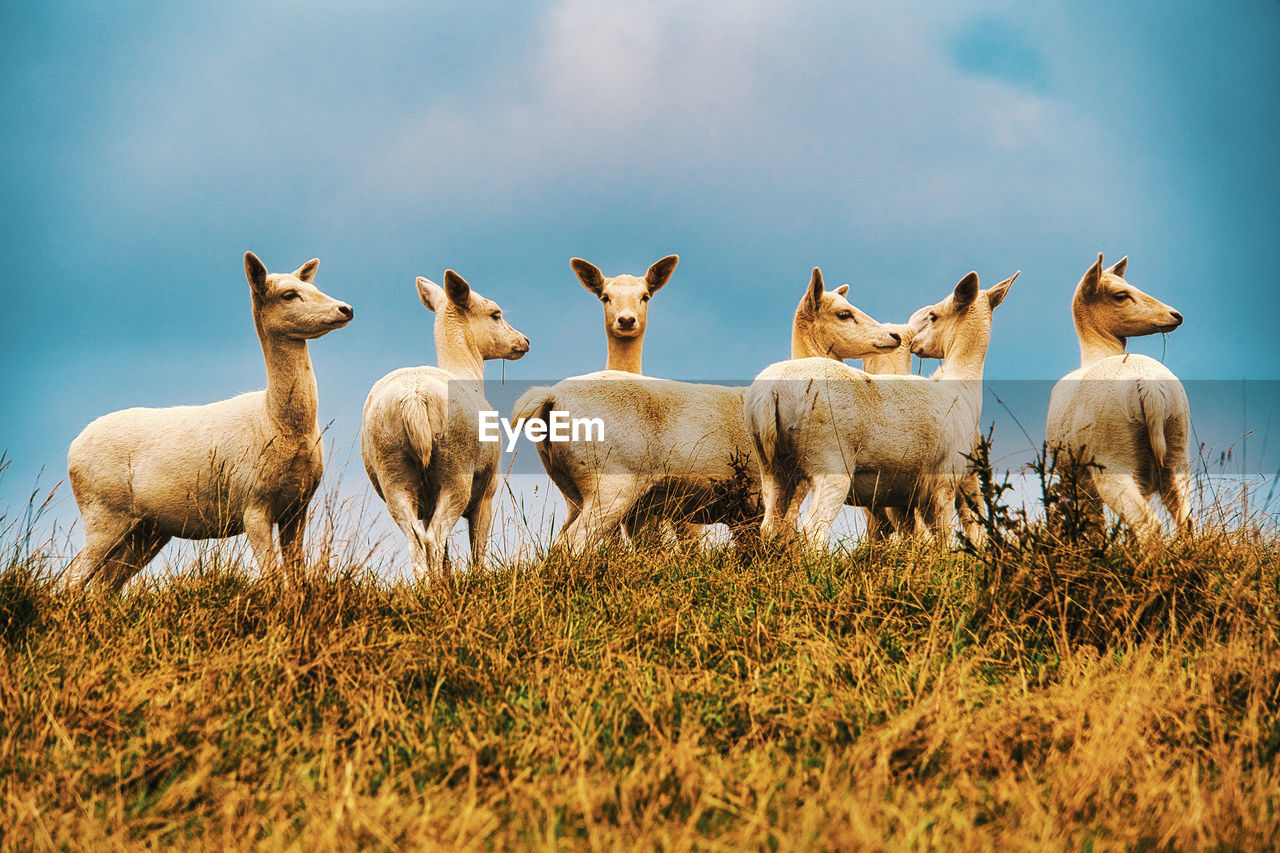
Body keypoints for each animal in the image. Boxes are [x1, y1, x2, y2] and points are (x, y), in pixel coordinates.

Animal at [66, 249, 350, 589]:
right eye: (289, 294)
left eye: (313, 285)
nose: (346, 308)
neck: (276, 423)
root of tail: (72, 450)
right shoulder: (251, 502)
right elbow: (271, 575)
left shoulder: (298, 506)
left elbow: (297, 575)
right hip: (103, 512)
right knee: (72, 577)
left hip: (147, 530)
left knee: (103, 584)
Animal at [363, 272, 527, 578]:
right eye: (496, 314)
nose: (524, 341)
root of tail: (414, 397)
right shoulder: (487, 492)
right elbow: (478, 547)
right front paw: (477, 577)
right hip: (456, 471)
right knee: (436, 536)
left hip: (392, 470)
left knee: (417, 538)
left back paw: (425, 584)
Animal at [1044, 252, 1192, 540]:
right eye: (1121, 294)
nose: (1176, 315)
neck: (1096, 352)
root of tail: (1148, 386)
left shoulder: (1073, 477)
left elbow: (1093, 527)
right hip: (1177, 451)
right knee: (1187, 520)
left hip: (1111, 459)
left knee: (1147, 524)